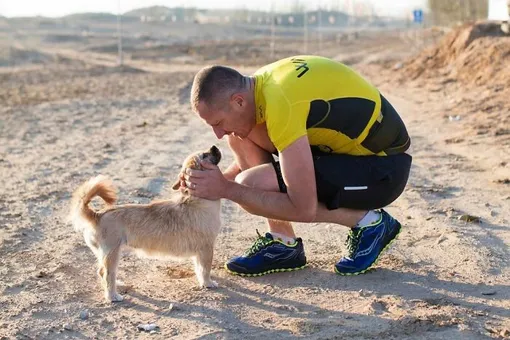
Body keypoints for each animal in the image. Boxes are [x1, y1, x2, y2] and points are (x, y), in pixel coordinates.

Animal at [70, 145, 222, 302]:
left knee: (102, 271)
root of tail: (98, 215)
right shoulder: (206, 249)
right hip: (112, 254)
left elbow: (199, 268)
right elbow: (205, 269)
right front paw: (208, 283)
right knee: (107, 275)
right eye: (205, 155)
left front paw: (203, 282)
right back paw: (113, 296)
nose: (214, 146)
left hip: (105, 254)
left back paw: (118, 285)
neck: (195, 200)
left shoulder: (200, 251)